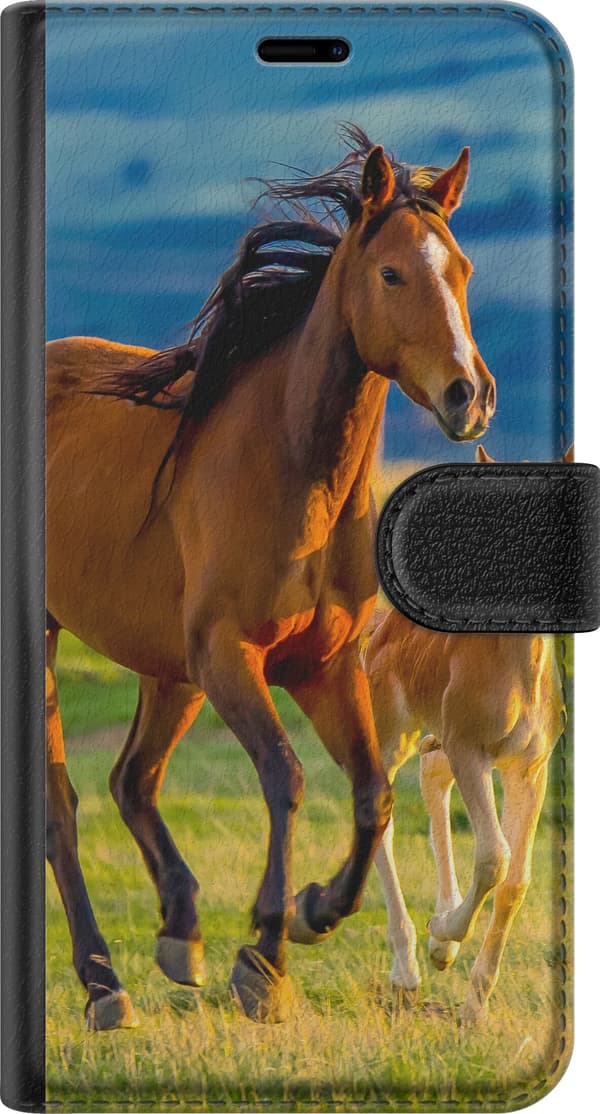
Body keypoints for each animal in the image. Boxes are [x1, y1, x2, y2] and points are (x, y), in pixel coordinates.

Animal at [46, 125, 495, 1029]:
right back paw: (104, 983)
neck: (291, 471)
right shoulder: (231, 658)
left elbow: (371, 794)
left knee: (132, 779)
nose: (470, 396)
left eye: (461, 269)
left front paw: (315, 910)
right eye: (391, 273)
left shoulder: (322, 665)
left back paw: (178, 934)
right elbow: (285, 779)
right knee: (62, 808)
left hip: (168, 668)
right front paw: (264, 958)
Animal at [362, 446, 566, 1025]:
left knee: (432, 780)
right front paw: (444, 933)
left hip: (439, 737)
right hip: (393, 733)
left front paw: (475, 1004)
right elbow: (494, 856)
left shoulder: (529, 767)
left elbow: (517, 879)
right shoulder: (471, 750)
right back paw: (408, 969)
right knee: (381, 815)